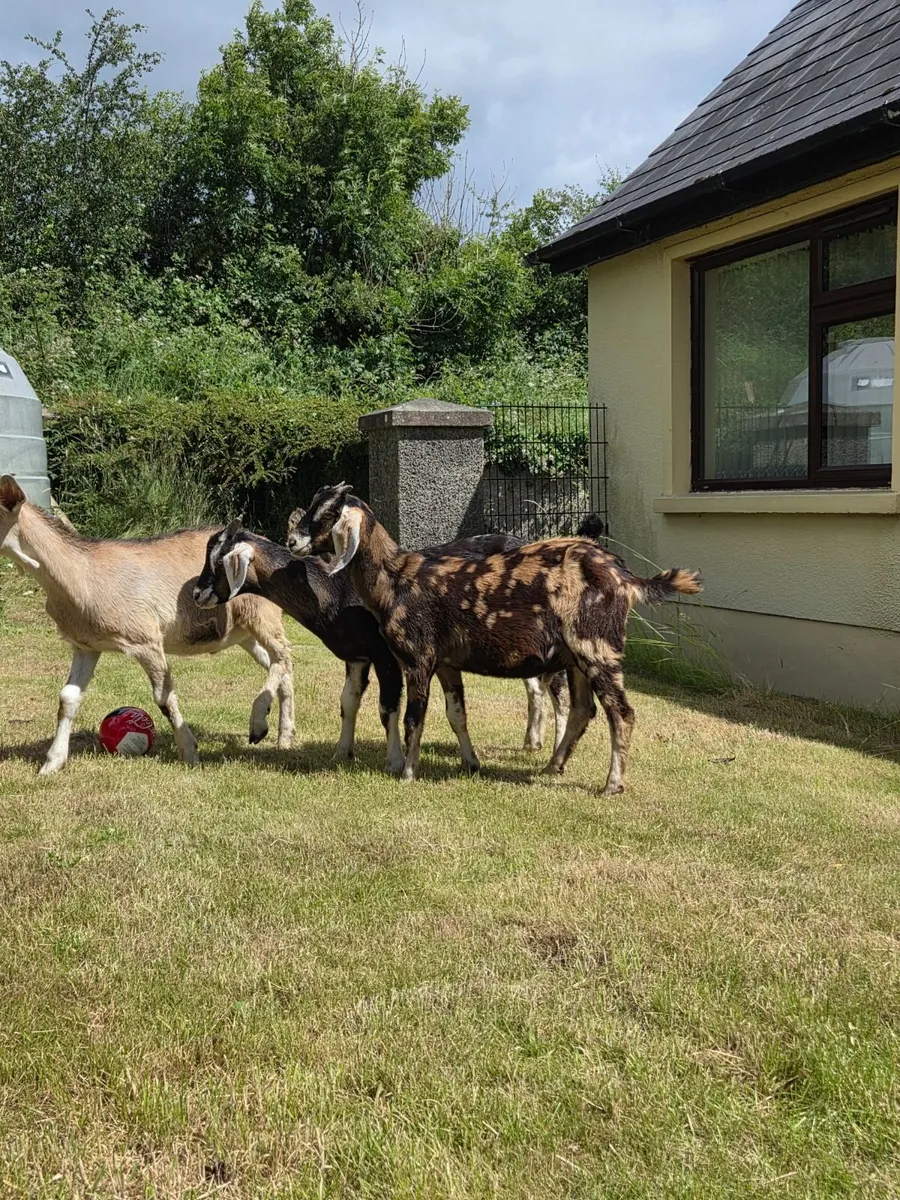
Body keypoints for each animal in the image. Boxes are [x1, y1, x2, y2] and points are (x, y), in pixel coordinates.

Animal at [0, 475, 294, 775]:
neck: (81, 575)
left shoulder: (145, 639)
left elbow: (163, 697)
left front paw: (190, 752)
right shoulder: (86, 645)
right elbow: (67, 698)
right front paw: (51, 764)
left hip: (263, 614)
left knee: (284, 655)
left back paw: (259, 725)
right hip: (244, 633)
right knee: (281, 667)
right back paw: (284, 736)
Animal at [195, 521, 570, 775]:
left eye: (219, 562)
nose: (197, 594)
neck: (332, 588)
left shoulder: (385, 655)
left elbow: (387, 707)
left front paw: (394, 761)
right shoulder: (357, 656)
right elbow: (348, 702)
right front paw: (341, 752)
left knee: (557, 688)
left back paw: (555, 752)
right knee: (535, 685)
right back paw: (532, 742)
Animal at [287, 483, 702, 795]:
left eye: (327, 515)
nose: (291, 541)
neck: (396, 577)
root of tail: (625, 576)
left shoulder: (417, 659)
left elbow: (412, 718)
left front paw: (407, 773)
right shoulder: (447, 664)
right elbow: (457, 715)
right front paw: (471, 763)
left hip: (597, 650)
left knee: (622, 713)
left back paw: (611, 785)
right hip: (578, 658)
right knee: (584, 710)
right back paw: (552, 767)